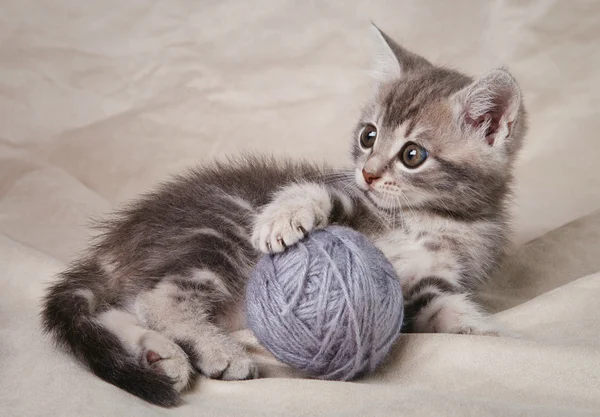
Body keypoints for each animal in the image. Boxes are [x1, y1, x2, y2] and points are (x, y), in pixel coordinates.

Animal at [41, 24, 524, 404]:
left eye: (412, 155)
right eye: (368, 136)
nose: (367, 173)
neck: (425, 217)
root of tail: (113, 245)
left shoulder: (425, 284)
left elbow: (445, 310)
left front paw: (489, 333)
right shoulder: (349, 198)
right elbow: (317, 192)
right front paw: (283, 219)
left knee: (118, 309)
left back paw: (160, 355)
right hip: (217, 232)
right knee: (157, 298)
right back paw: (219, 352)